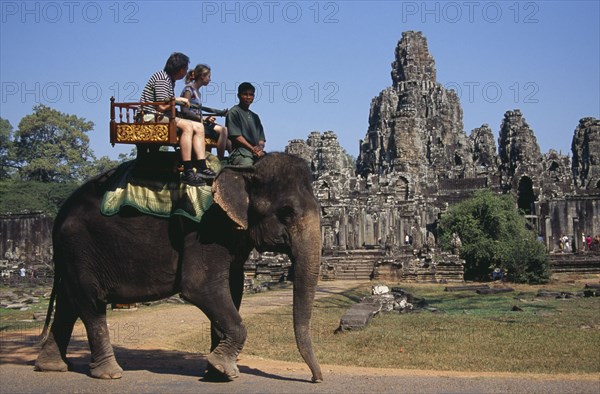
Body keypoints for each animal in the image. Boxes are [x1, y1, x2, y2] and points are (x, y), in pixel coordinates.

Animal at [34, 152, 324, 384]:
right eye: (286, 212)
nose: (315, 379)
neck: (245, 169)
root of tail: (60, 212)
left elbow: (233, 289)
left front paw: (215, 371)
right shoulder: (207, 229)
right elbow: (200, 286)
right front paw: (224, 370)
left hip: (73, 255)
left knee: (69, 302)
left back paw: (51, 366)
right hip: (80, 247)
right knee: (90, 302)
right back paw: (109, 373)